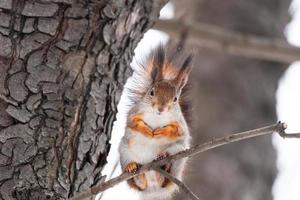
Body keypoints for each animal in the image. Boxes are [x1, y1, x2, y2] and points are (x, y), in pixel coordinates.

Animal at [118, 45, 193, 200]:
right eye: (151, 92)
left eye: (175, 99)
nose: (161, 108)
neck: (157, 117)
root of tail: (153, 190)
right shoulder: (135, 112)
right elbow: (132, 122)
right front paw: (146, 130)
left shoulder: (180, 123)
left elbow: (179, 131)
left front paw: (161, 131)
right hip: (124, 151)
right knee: (138, 184)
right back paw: (133, 170)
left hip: (179, 154)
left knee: (165, 180)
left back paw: (163, 162)